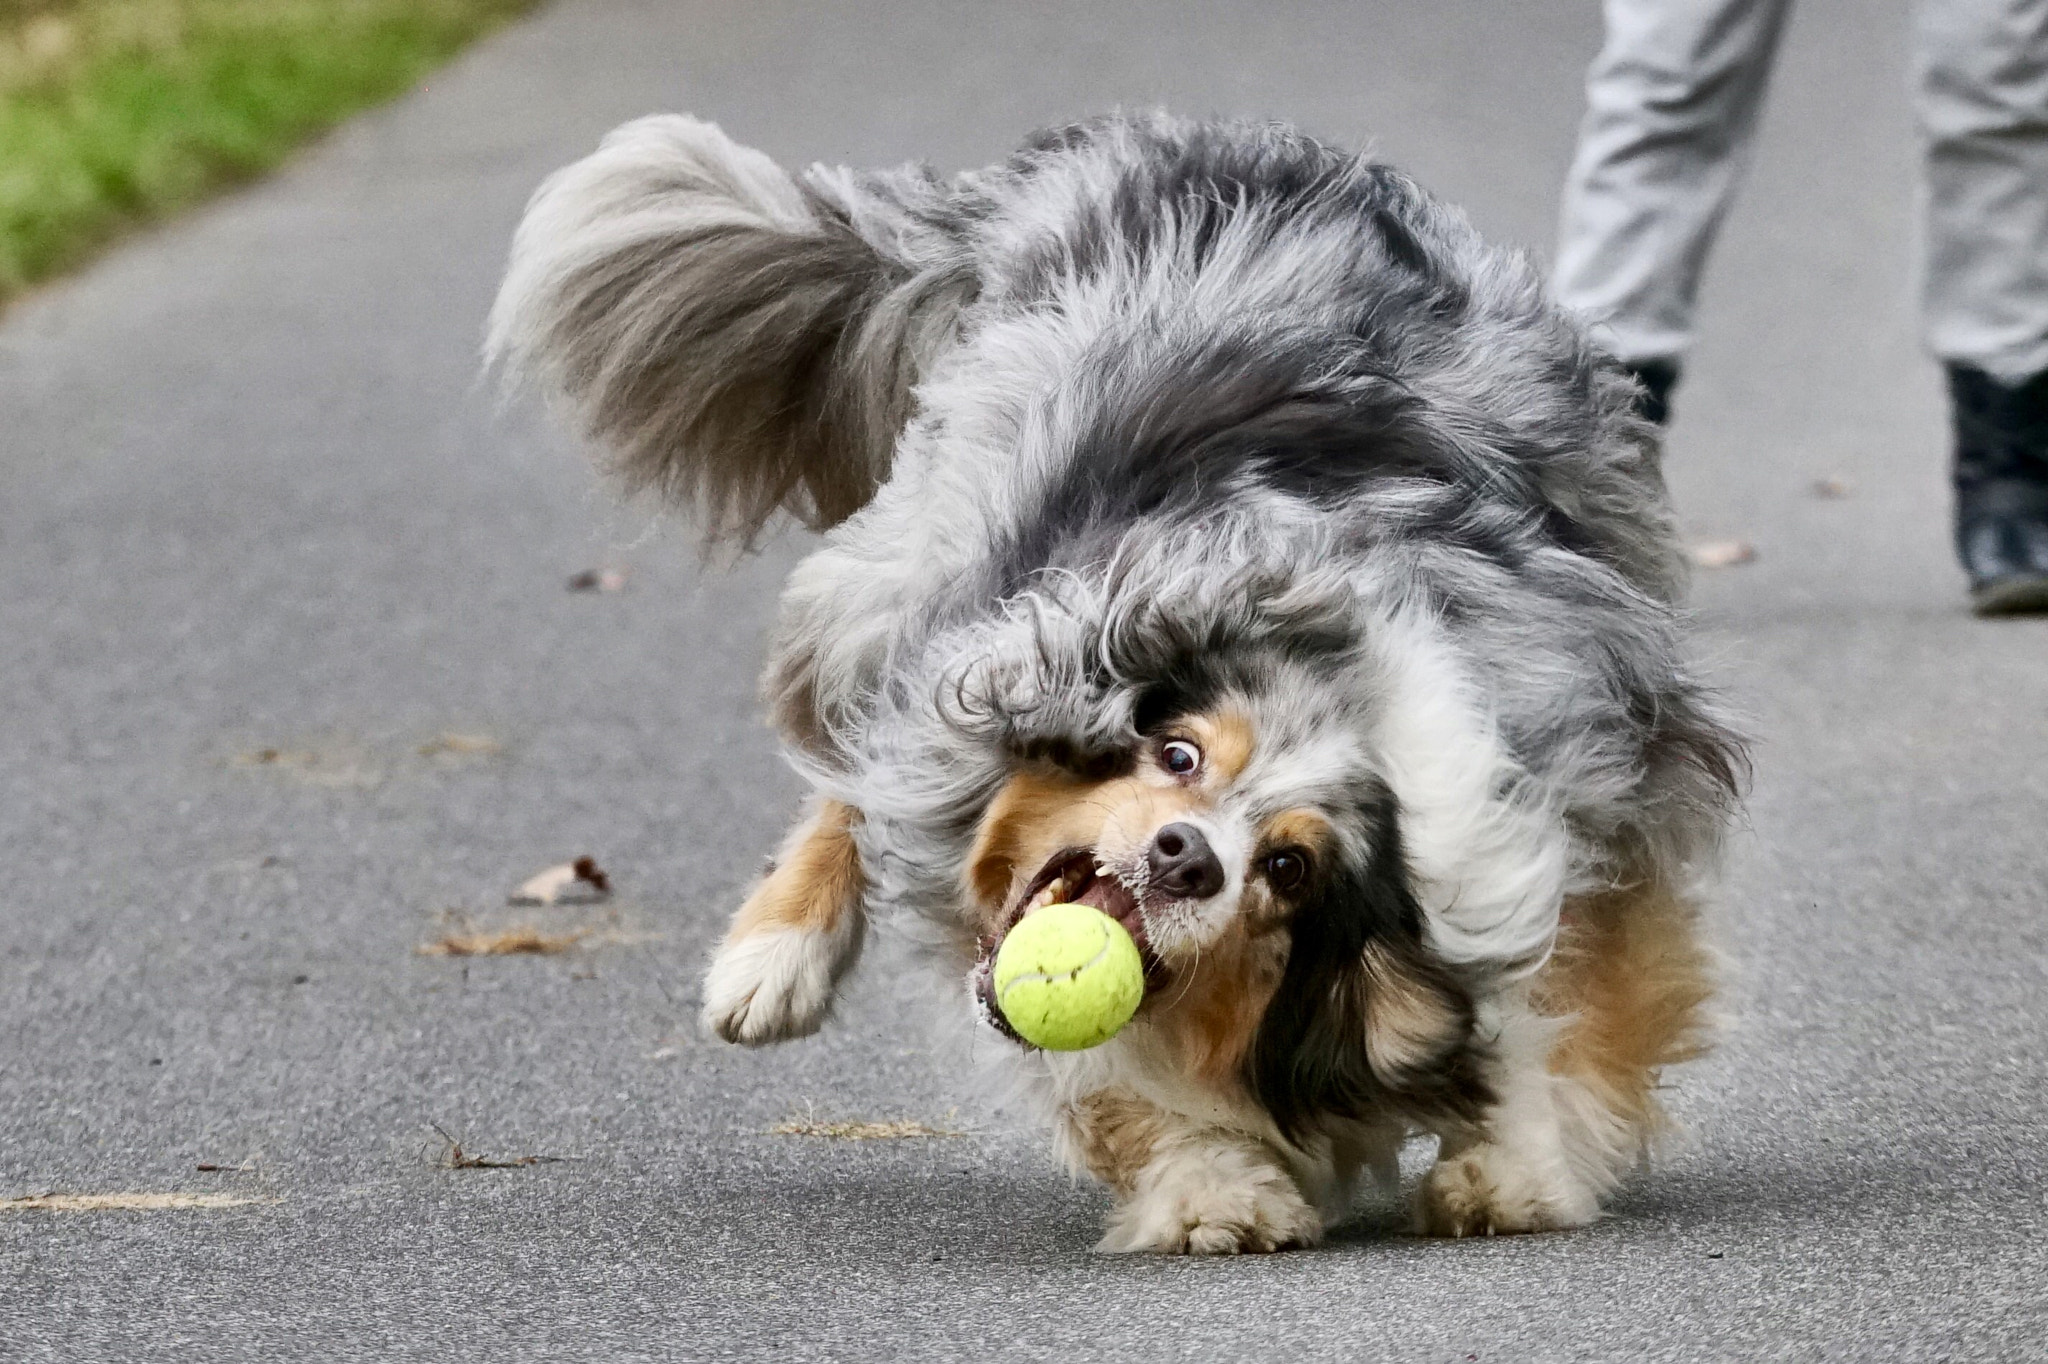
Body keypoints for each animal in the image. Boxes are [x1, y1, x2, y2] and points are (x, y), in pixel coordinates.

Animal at [487, 114, 1736, 1253]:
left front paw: (1518, 1162)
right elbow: (1112, 1075)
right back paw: (768, 963)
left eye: (1286, 866)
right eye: (1174, 753)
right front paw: (1213, 1183)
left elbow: (1572, 1009)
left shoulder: (1589, 800)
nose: (1186, 855)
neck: (1343, 677)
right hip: (935, 555)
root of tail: (1184, 140)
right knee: (862, 750)